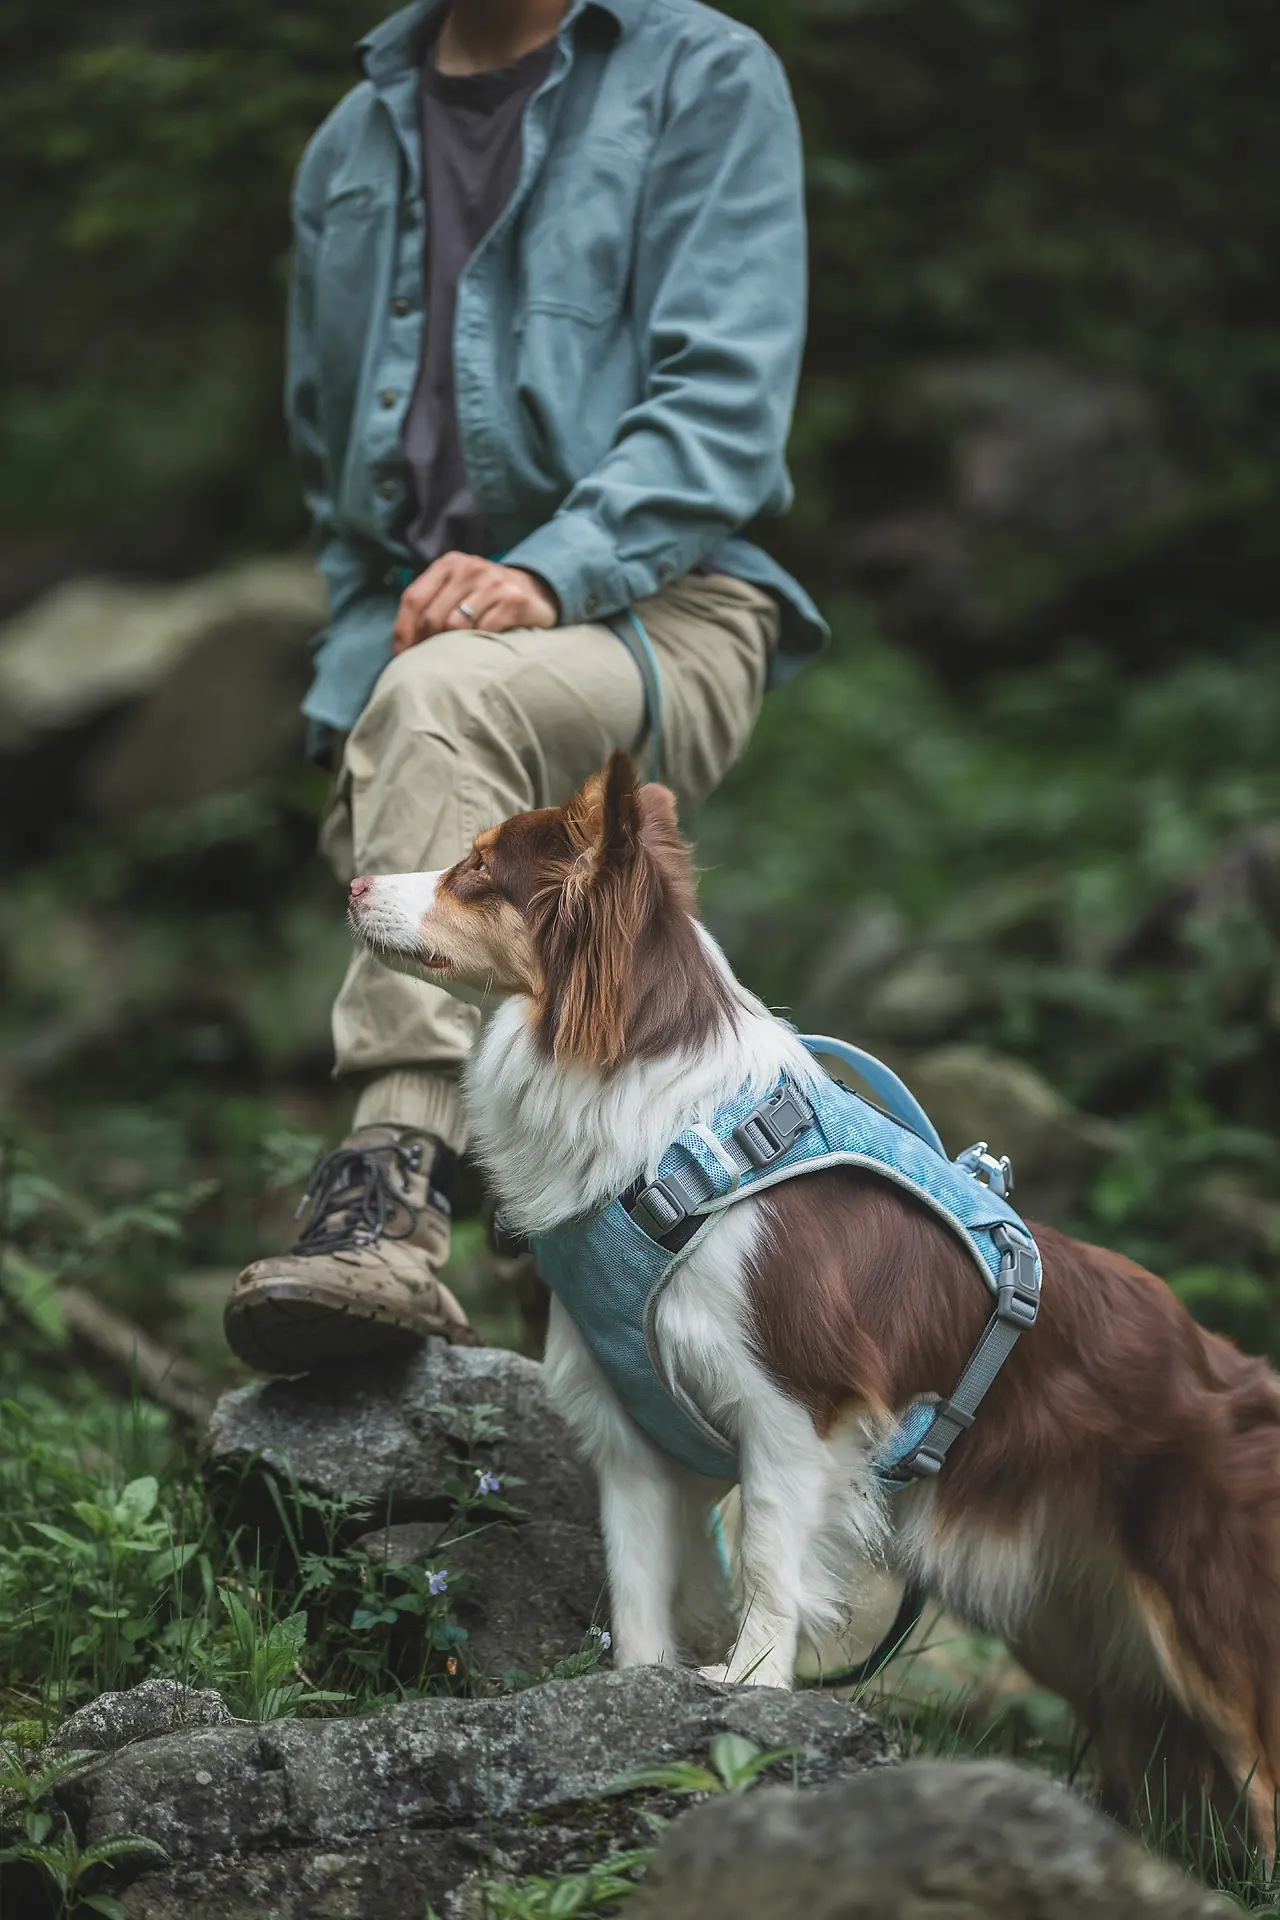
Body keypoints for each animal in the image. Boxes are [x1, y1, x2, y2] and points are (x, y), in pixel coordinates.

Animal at [345, 744, 1280, 1843]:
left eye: (476, 870)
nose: (351, 883)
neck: (662, 1139)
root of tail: (1241, 1376)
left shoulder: (797, 1413)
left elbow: (766, 1558)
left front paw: (749, 1683)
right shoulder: (628, 1430)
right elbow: (635, 1582)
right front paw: (634, 1693)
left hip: (1211, 1621)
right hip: (1076, 1631)